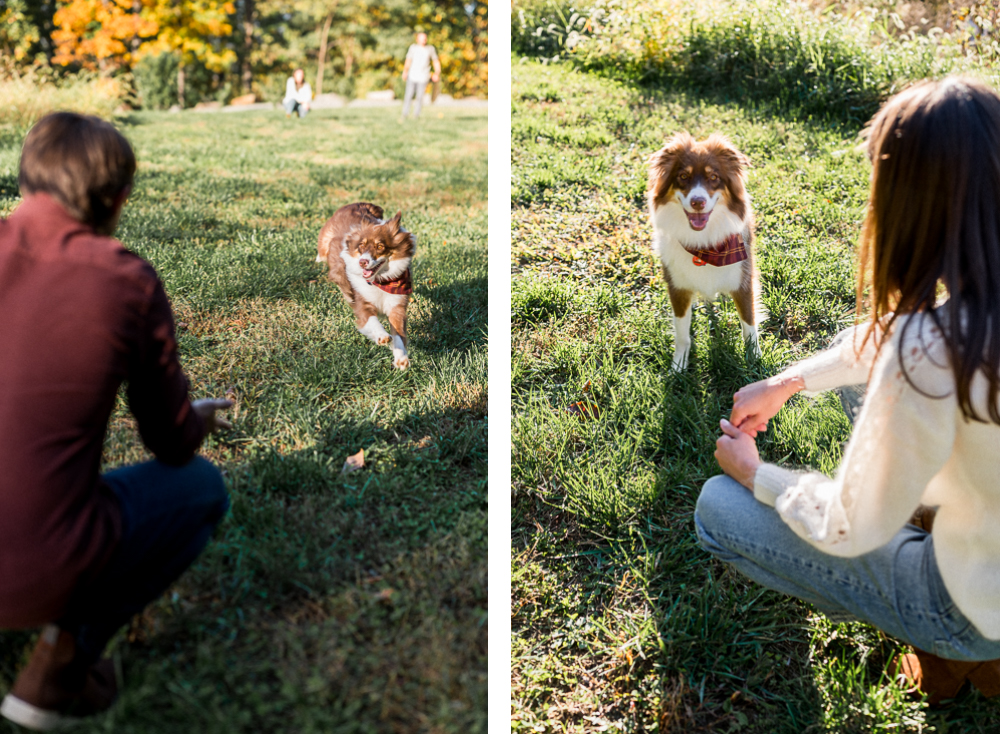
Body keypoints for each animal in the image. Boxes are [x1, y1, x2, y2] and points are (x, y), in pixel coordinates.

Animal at [318, 201, 416, 370]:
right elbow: (372, 320)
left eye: (380, 246)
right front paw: (382, 336)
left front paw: (401, 359)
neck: (381, 281)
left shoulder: (396, 305)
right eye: (361, 246)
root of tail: (354, 203)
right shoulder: (362, 303)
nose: (362, 262)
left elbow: (398, 333)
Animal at [644, 132, 760, 370]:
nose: (698, 202)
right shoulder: (677, 287)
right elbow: (682, 332)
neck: (704, 244)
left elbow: (749, 322)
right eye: (683, 176)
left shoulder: (743, 279)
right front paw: (679, 366)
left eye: (713, 177)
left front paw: (755, 359)